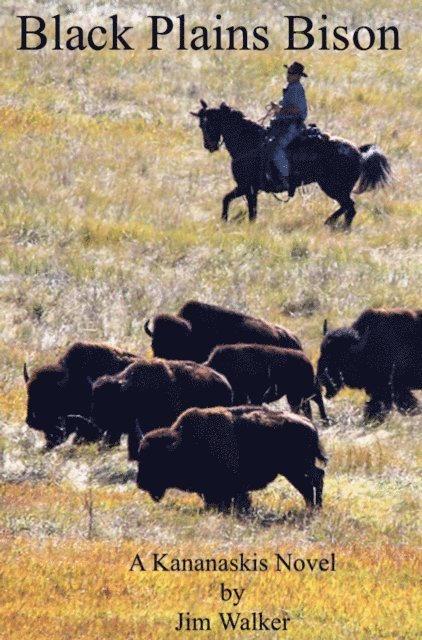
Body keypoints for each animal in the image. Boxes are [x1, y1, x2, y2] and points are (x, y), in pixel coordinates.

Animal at [137, 405, 327, 512]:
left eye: (157, 460)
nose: (141, 483)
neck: (184, 443)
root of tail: (309, 423)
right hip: (293, 470)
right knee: (309, 485)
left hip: (296, 467)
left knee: (315, 480)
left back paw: (315, 508)